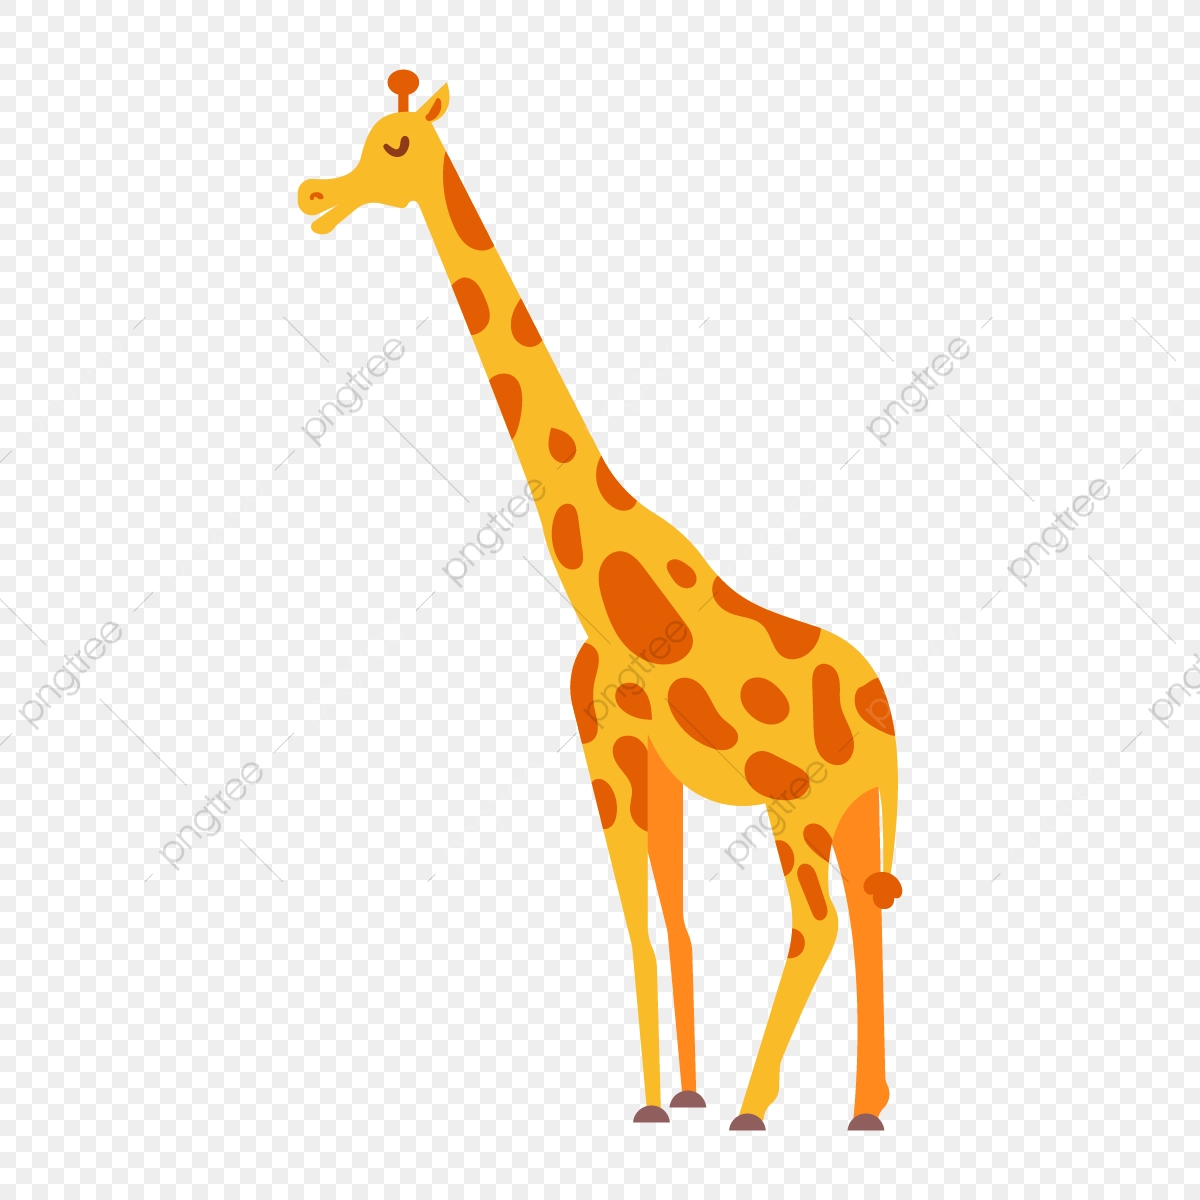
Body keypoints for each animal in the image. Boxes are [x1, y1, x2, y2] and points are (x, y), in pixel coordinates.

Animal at [298, 71, 903, 1132]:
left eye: (396, 145)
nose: (315, 195)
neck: (596, 580)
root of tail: (885, 705)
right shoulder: (644, 758)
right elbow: (671, 918)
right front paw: (681, 1093)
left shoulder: (610, 747)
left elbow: (640, 920)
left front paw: (666, 1103)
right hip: (852, 806)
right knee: (867, 916)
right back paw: (863, 1108)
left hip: (800, 805)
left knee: (819, 922)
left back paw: (760, 1105)